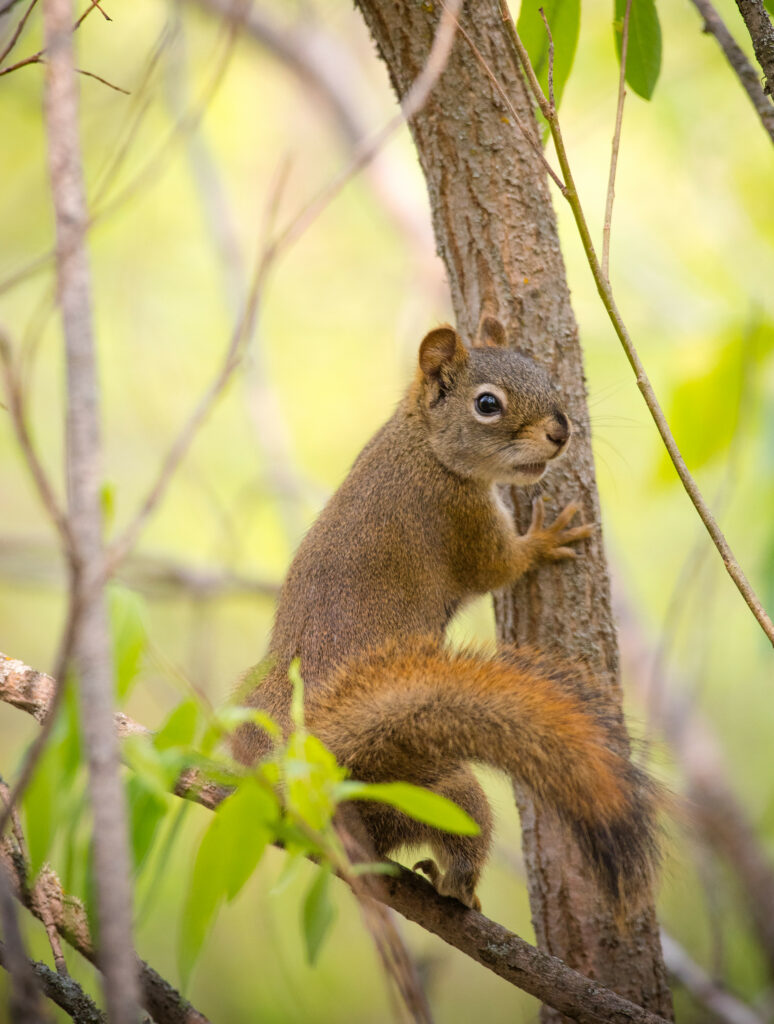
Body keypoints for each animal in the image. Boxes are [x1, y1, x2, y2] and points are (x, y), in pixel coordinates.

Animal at [235, 315, 661, 912]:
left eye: (544, 374)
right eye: (487, 404)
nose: (561, 432)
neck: (423, 442)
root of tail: (317, 785)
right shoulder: (459, 515)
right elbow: (497, 566)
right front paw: (546, 539)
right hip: (443, 790)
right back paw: (456, 889)